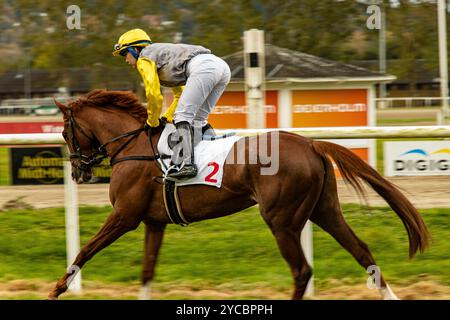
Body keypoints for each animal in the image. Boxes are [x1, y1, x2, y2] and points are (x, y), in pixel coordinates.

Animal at [47, 89, 430, 298]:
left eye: (66, 133)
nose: (78, 172)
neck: (133, 147)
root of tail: (311, 143)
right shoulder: (154, 223)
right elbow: (146, 272)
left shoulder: (124, 216)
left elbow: (85, 250)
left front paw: (57, 288)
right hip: (324, 209)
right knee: (362, 252)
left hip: (281, 219)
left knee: (302, 271)